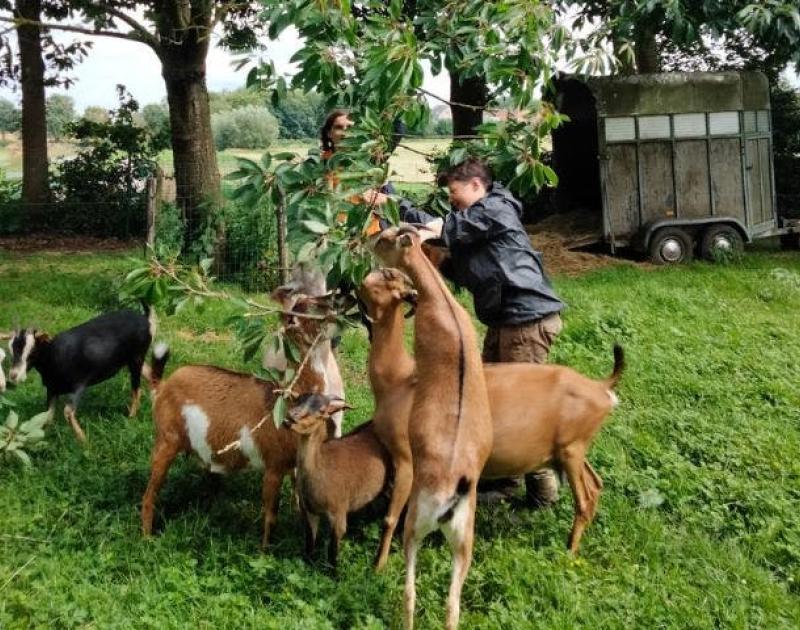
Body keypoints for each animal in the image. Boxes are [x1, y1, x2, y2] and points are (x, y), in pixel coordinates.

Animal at [8, 308, 156, 442]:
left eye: (32, 350)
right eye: (12, 348)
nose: (14, 375)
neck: (54, 355)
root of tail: (144, 318)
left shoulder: (78, 385)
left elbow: (68, 412)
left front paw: (85, 442)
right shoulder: (52, 389)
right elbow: (48, 415)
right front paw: (44, 437)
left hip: (137, 358)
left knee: (137, 389)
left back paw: (131, 417)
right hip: (131, 360)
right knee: (149, 374)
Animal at [141, 292, 338, 548]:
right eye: (306, 307)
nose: (335, 301)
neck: (290, 396)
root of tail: (162, 386)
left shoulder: (293, 467)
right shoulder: (273, 466)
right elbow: (271, 515)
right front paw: (265, 551)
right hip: (167, 440)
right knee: (149, 493)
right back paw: (147, 538)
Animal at [284, 396, 390, 572]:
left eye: (322, 411)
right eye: (298, 400)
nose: (291, 416)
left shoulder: (338, 512)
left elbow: (332, 550)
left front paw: (333, 574)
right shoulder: (309, 511)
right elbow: (309, 543)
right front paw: (308, 564)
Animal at [360, 266, 620, 556]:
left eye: (387, 276)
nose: (372, 269)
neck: (399, 379)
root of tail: (601, 388)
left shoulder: (407, 456)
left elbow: (392, 517)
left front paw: (380, 563)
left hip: (571, 450)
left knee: (584, 499)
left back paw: (569, 551)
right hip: (572, 449)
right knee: (596, 484)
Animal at [372, 227, 490, 630]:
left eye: (386, 239)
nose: (368, 243)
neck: (441, 302)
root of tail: (451, 496)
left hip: (415, 527)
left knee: (410, 592)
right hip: (463, 543)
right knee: (452, 605)